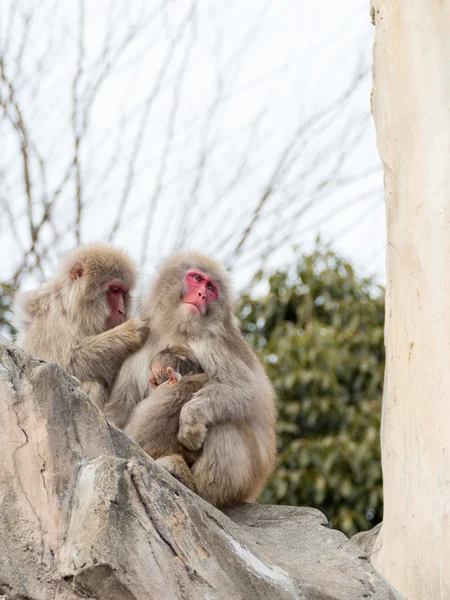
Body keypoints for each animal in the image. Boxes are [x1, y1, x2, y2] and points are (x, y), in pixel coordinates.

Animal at [12, 244, 149, 408]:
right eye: (114, 290)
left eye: (123, 292)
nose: (122, 310)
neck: (75, 310)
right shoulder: (54, 320)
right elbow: (65, 364)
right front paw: (130, 332)